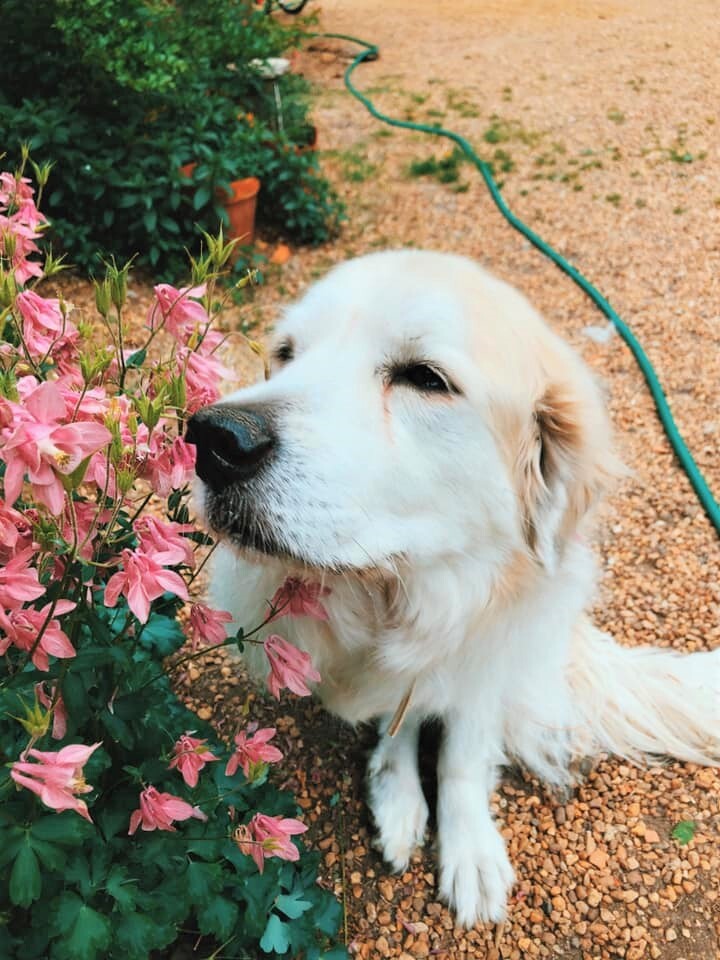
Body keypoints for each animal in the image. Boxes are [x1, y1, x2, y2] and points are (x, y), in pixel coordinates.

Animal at [190, 251, 720, 928]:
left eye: (424, 377)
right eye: (286, 353)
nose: (214, 438)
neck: (398, 592)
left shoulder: (483, 662)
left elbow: (461, 756)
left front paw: (470, 849)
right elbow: (403, 723)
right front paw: (398, 794)